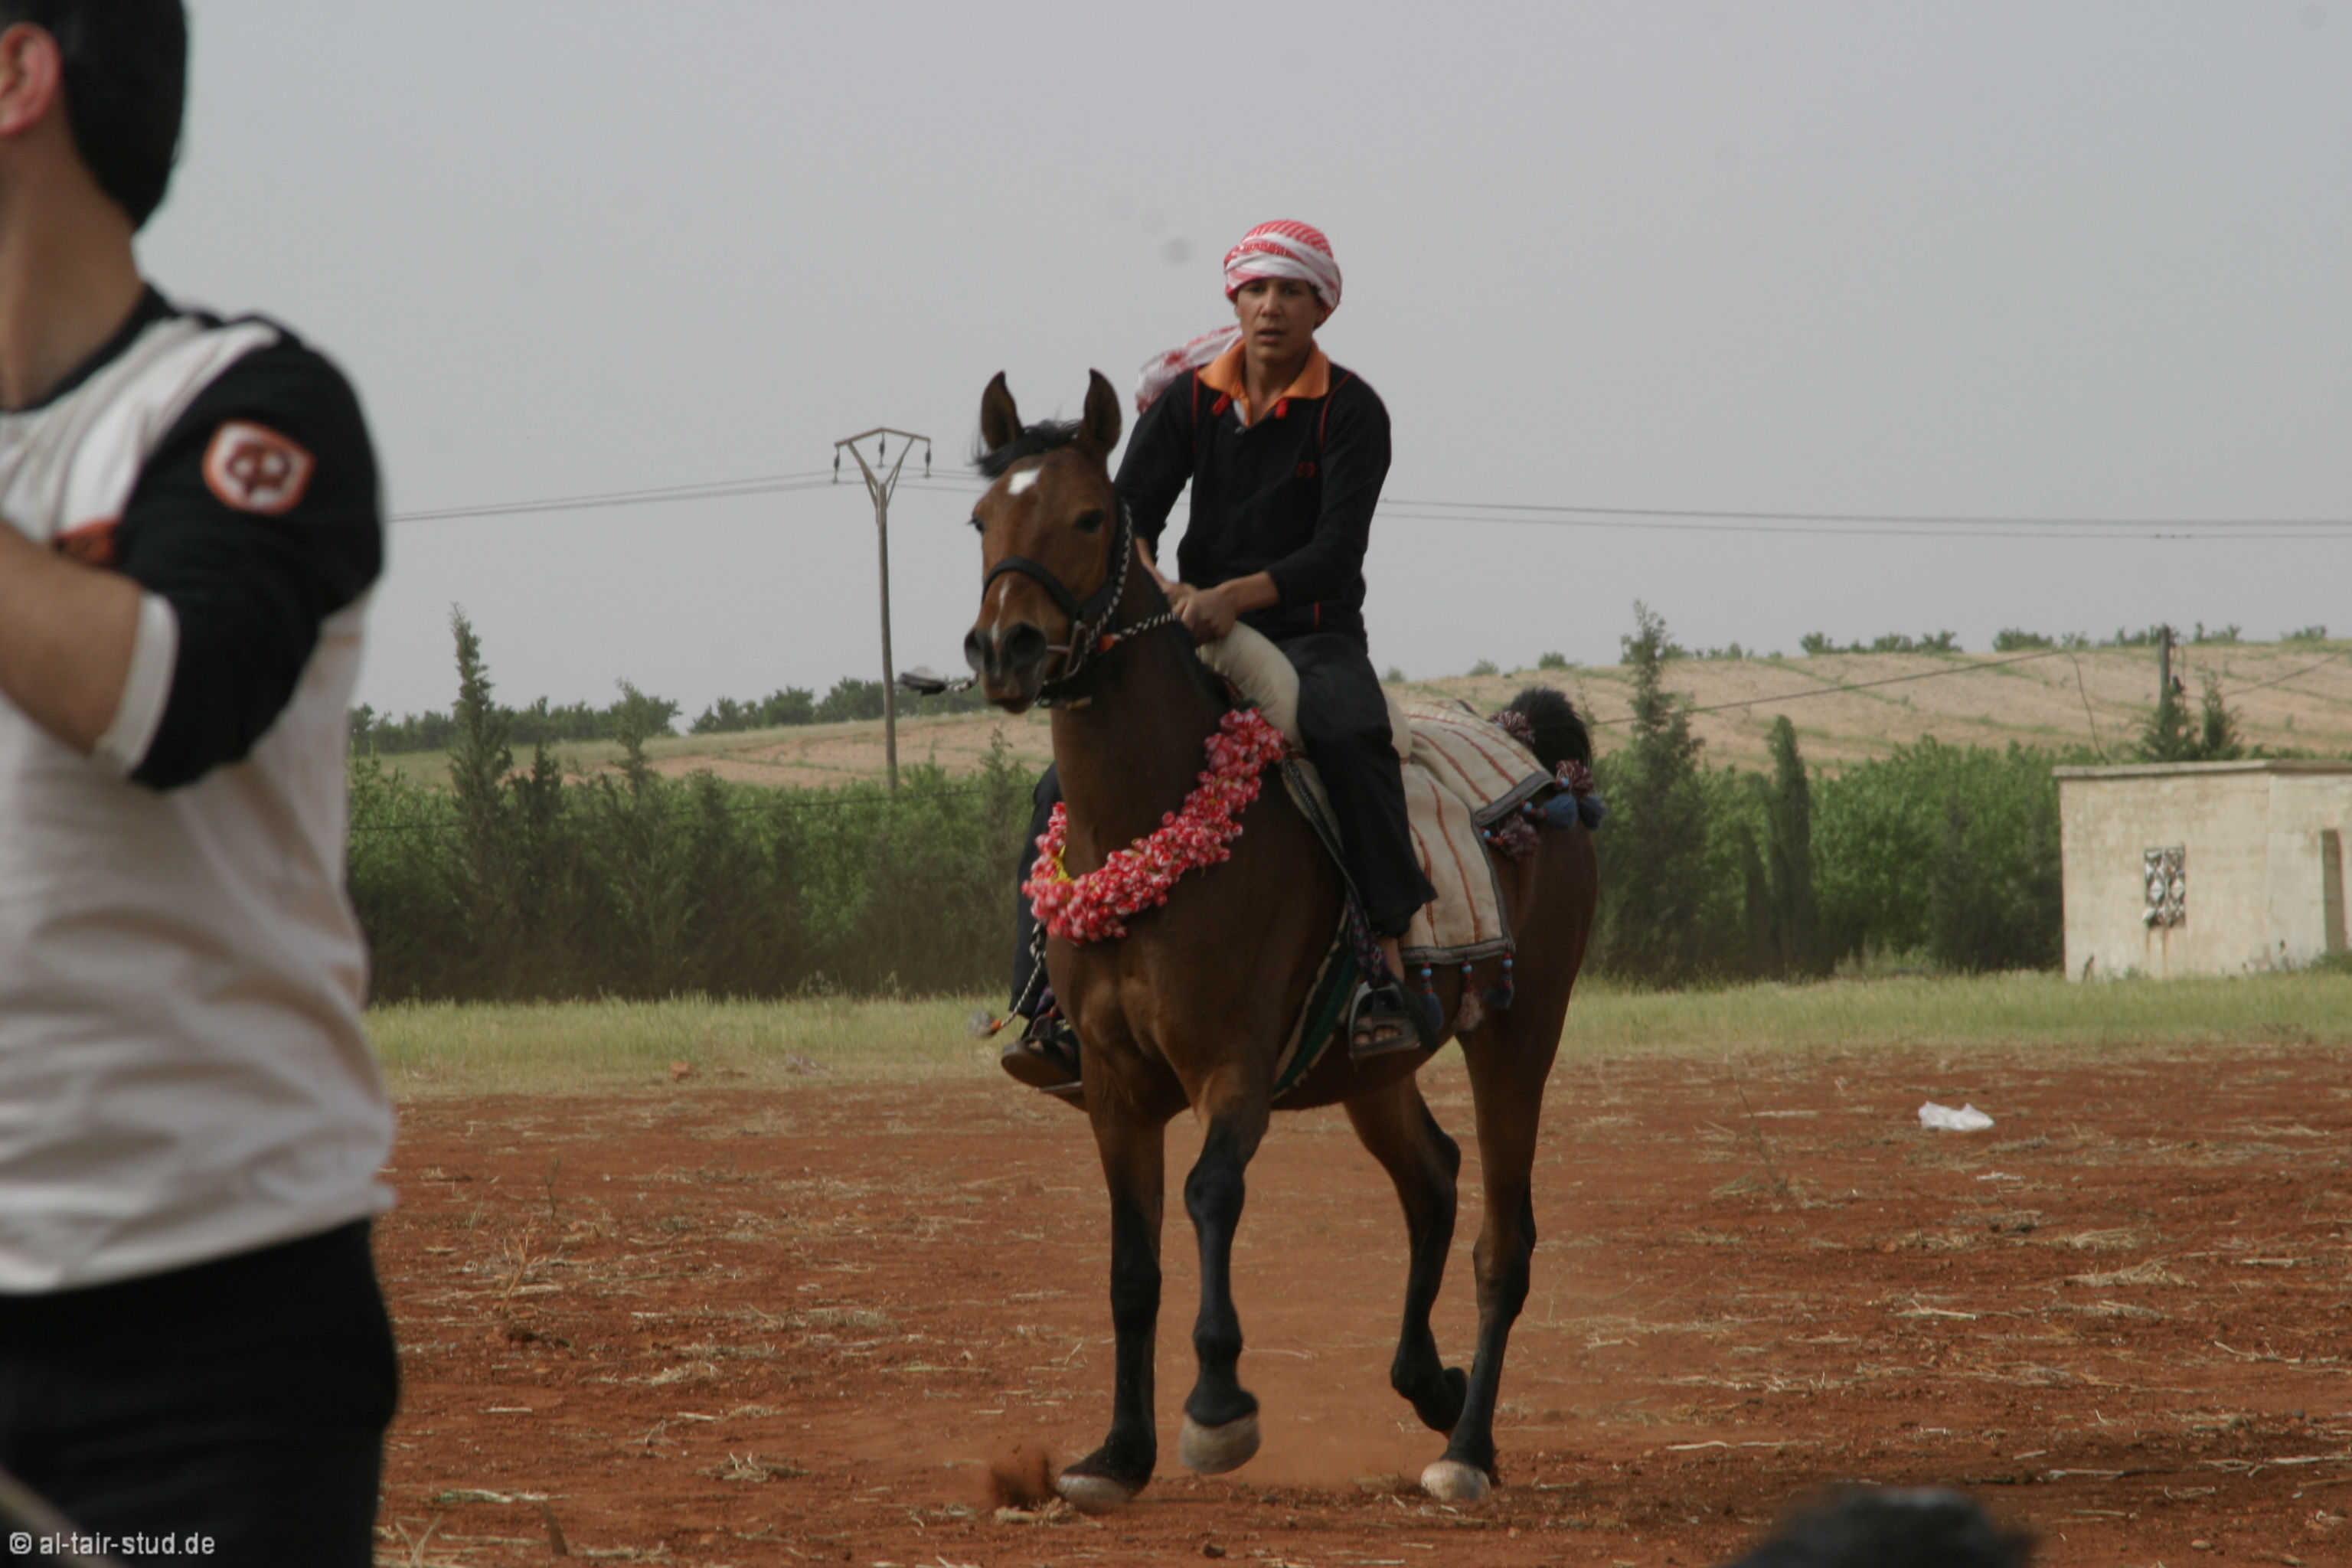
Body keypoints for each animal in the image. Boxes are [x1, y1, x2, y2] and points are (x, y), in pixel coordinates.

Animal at [960, 369, 1599, 1512]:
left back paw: (1466, 1445)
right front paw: (1117, 1454)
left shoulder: (1232, 1064)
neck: (1153, 811)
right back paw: (1429, 1384)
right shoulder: (1115, 1086)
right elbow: (1132, 1262)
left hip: (1520, 1035)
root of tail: (1537, 753)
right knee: (1433, 1178)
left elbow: (1211, 1195)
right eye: (984, 518)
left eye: (1090, 516)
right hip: (1372, 1067)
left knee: (1504, 1239)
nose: (1005, 647)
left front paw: (1217, 1411)